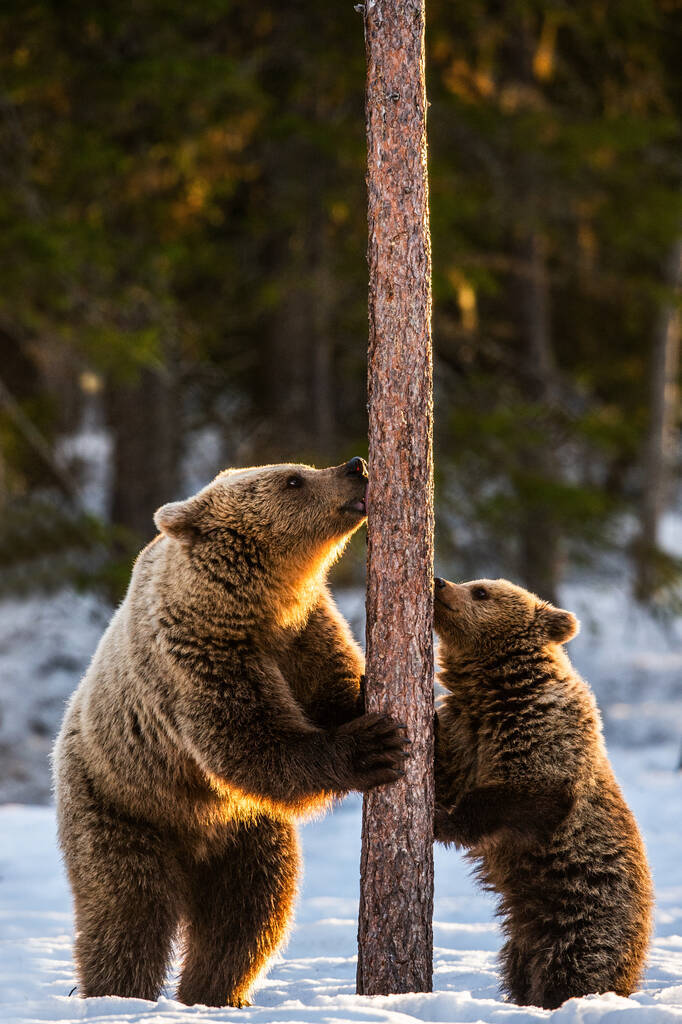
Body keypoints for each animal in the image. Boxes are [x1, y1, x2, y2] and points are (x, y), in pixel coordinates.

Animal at [55, 462, 405, 1007]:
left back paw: (215, 992)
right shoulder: (203, 657)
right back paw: (116, 994)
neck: (257, 604)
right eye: (293, 480)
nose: (356, 466)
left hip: (245, 831)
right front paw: (371, 746)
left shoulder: (307, 634)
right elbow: (249, 742)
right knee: (129, 908)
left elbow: (336, 692)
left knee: (253, 907)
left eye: (302, 470)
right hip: (119, 803)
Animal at [432, 581, 651, 1011]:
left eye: (481, 591)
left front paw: (441, 821)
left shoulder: (544, 745)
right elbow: (444, 768)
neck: (494, 691)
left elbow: (514, 799)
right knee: (518, 967)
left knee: (574, 967)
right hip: (522, 936)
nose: (439, 583)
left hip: (584, 916)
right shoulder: (466, 734)